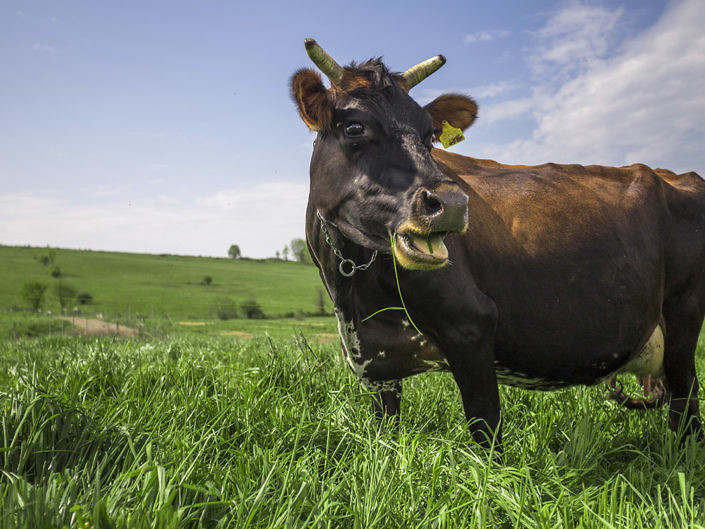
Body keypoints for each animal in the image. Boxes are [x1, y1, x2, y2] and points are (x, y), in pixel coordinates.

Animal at [290, 39, 704, 448]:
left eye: (430, 136)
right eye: (354, 127)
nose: (453, 204)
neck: (354, 293)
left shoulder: (471, 326)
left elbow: (485, 430)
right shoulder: (376, 362)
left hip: (683, 315)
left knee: (687, 406)